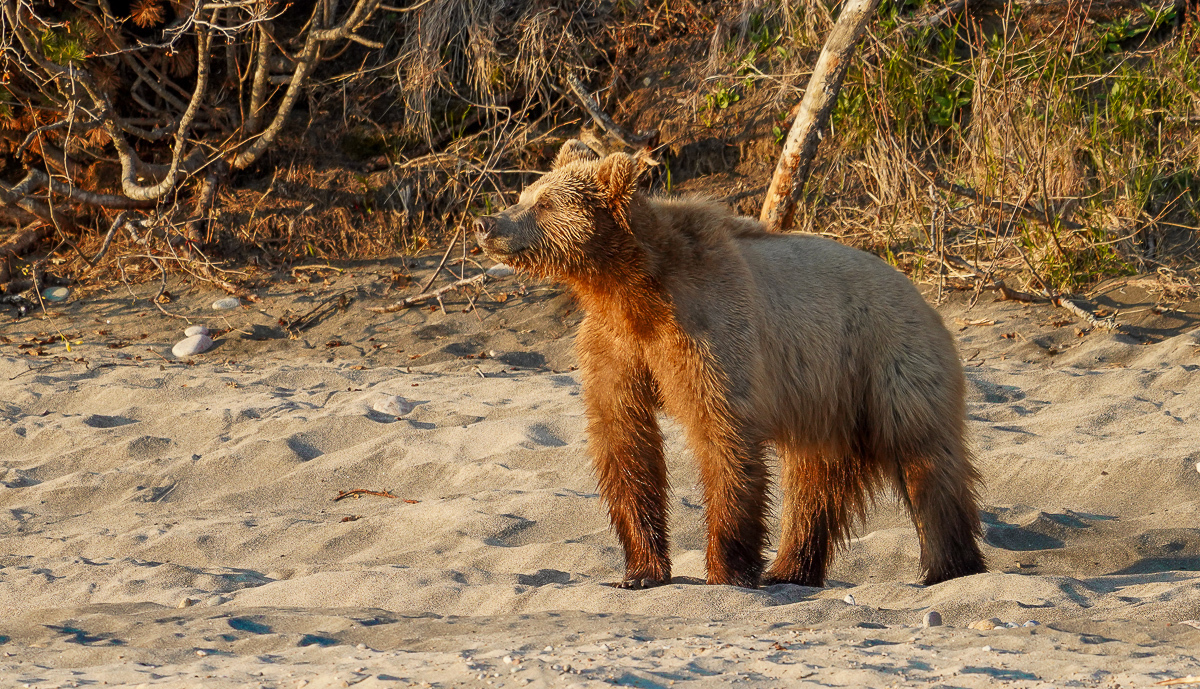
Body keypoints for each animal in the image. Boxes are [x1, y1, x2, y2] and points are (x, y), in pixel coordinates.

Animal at [472, 139, 988, 588]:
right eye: (524, 195)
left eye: (543, 203)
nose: (487, 223)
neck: (630, 288)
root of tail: (925, 299)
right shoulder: (616, 345)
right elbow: (624, 437)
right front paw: (640, 571)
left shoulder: (709, 331)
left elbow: (723, 435)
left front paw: (726, 570)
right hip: (824, 397)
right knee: (814, 481)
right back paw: (790, 569)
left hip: (887, 362)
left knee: (925, 461)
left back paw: (949, 566)